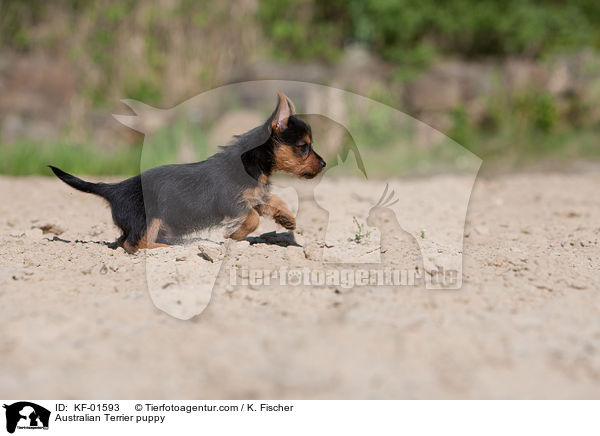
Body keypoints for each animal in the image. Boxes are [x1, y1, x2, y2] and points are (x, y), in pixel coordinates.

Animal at [49, 93, 326, 255]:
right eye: (304, 147)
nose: (323, 163)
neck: (252, 163)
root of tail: (115, 188)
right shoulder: (231, 203)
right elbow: (253, 219)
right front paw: (234, 235)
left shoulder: (253, 197)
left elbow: (269, 201)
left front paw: (286, 218)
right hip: (149, 217)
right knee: (135, 244)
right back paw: (167, 248)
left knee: (124, 241)